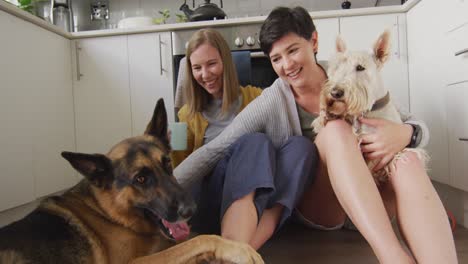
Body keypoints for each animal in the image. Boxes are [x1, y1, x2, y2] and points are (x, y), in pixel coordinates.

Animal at [0, 98, 264, 262]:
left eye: (168, 164)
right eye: (141, 179)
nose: (191, 210)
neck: (106, 212)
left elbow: (193, 238)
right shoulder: (136, 261)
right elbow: (198, 240)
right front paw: (239, 249)